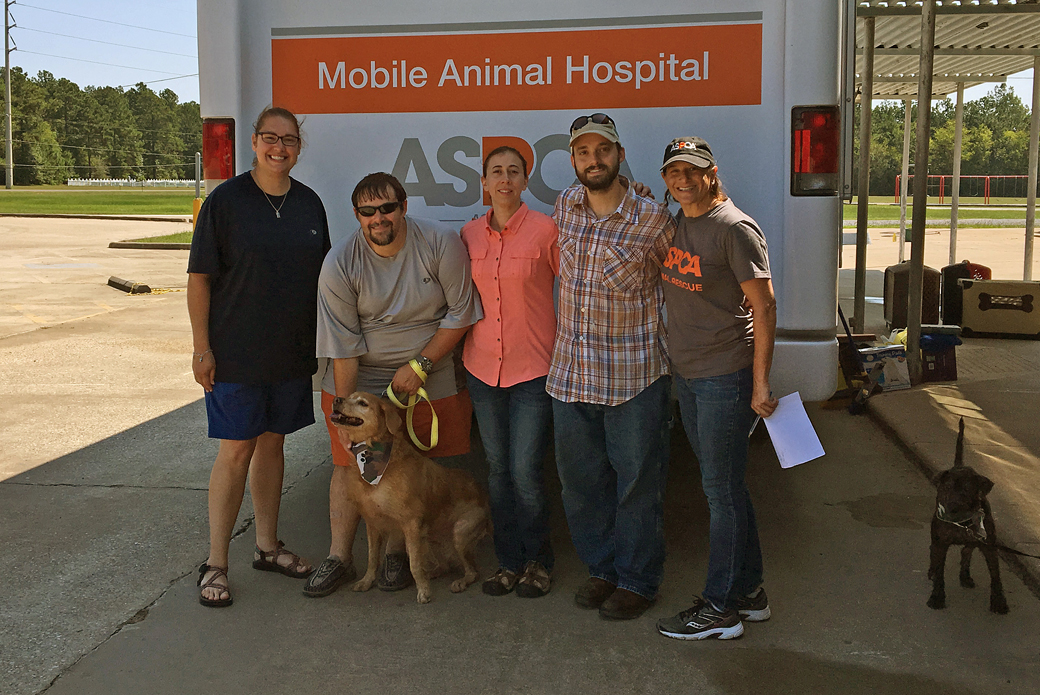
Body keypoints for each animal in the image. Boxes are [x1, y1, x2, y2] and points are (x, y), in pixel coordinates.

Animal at [328, 391, 490, 603]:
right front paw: (366, 581)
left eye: (363, 403)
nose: (336, 399)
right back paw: (434, 573)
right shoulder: (372, 523)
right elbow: (373, 558)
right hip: (428, 537)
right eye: (348, 396)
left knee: (473, 571)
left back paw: (460, 581)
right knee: (444, 566)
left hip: (460, 532)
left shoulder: (410, 523)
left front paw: (423, 591)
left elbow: (414, 564)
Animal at [927, 418, 1006, 611]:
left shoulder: (988, 545)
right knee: (934, 550)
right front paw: (937, 597)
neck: (961, 522)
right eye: (947, 487)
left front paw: (999, 601)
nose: (953, 509)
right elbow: (939, 571)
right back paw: (932, 570)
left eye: (968, 490)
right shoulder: (941, 543)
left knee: (966, 551)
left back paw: (965, 575)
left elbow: (995, 575)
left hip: (975, 540)